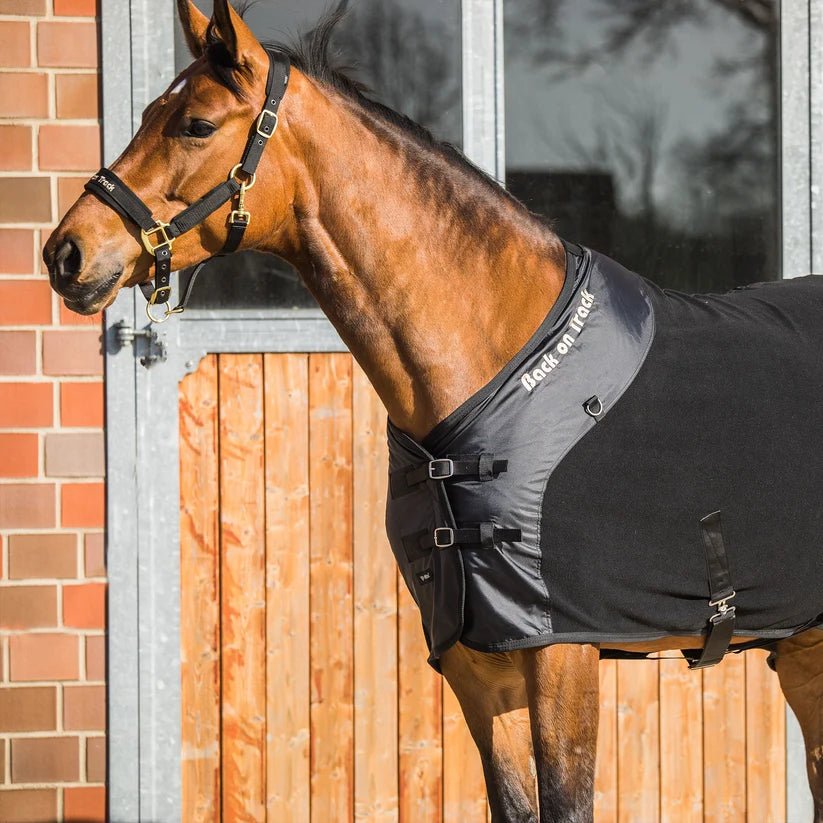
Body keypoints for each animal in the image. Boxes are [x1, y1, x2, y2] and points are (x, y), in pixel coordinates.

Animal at [43, 1, 823, 820]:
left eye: (195, 124)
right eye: (146, 115)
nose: (66, 253)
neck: (497, 371)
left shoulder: (563, 654)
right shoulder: (479, 666)